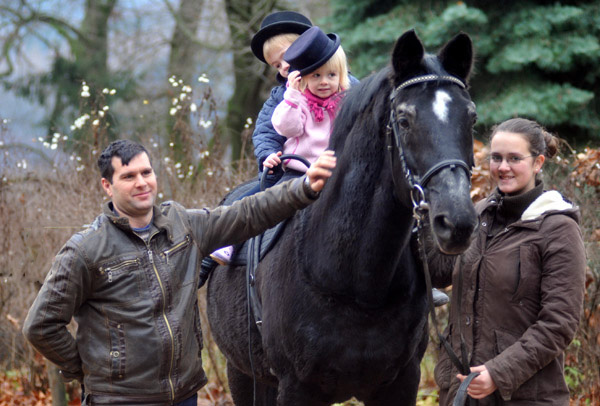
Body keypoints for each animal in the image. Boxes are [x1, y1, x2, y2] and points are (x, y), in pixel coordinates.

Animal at [206, 30, 478, 406]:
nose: (457, 222)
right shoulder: (296, 388)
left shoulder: (401, 383)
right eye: (404, 120)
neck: (355, 285)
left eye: (471, 118)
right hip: (243, 374)